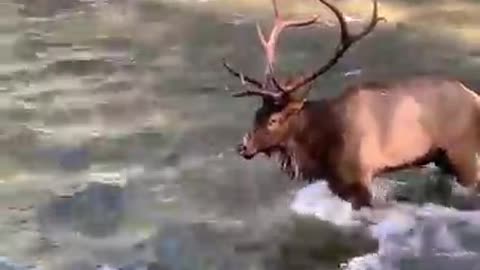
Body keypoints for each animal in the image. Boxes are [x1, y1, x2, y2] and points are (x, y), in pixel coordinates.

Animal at [223, 0, 480, 210]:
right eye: (257, 113)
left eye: (274, 120)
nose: (243, 147)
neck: (319, 147)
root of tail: (475, 97)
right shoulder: (337, 183)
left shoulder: (358, 177)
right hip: (442, 158)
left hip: (463, 152)